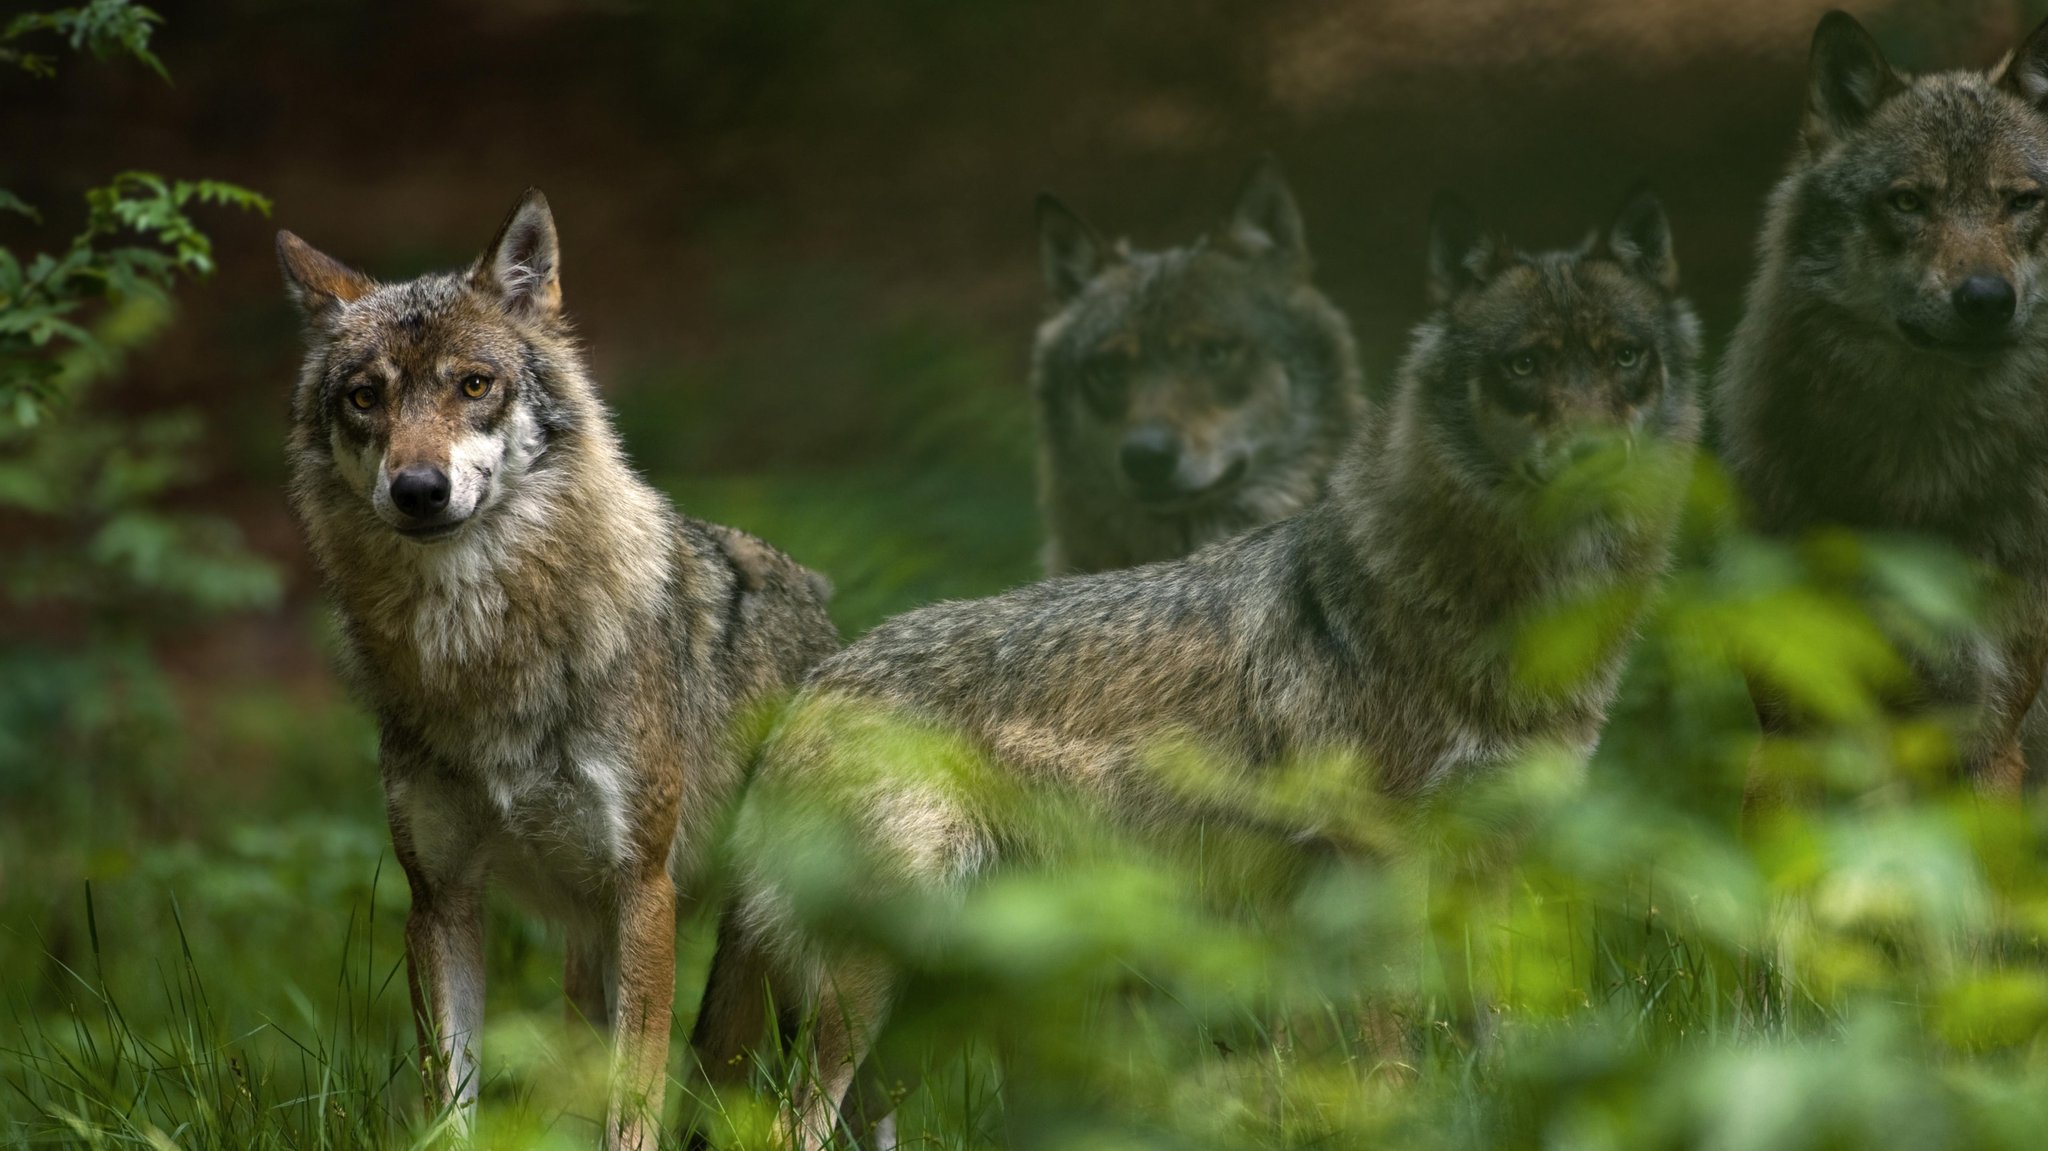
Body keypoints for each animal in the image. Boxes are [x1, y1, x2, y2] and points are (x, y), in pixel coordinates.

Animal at [280, 190, 839, 1146]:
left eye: (474, 384)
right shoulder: (440, 898)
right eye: (364, 396)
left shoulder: (641, 891)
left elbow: (635, 1106)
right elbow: (452, 1101)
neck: (484, 651)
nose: (418, 490)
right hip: (594, 950)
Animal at [1720, 8, 2048, 794]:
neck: (1922, 475)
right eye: (1908, 201)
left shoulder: (1987, 734)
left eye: (2022, 202)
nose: (1987, 300)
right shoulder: (1791, 727)